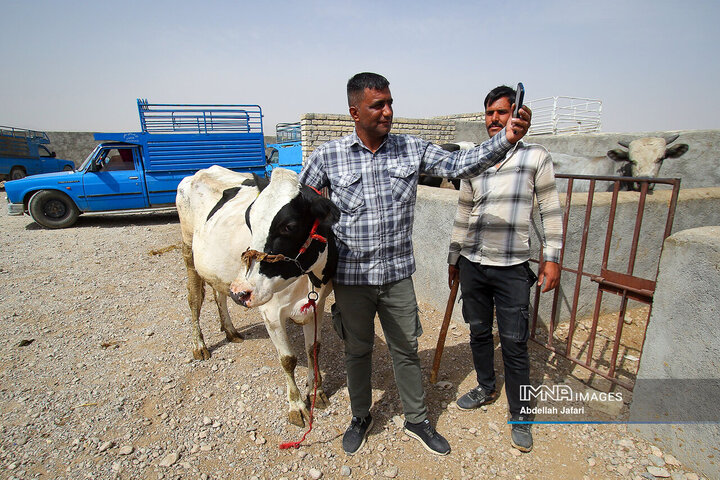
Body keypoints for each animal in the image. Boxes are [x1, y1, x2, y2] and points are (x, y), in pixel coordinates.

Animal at [177, 166, 340, 428]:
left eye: (289, 226)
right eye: (248, 220)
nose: (242, 290)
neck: (306, 278)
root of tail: (202, 170)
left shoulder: (317, 303)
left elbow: (313, 349)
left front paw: (317, 392)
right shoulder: (271, 313)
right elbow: (288, 359)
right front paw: (297, 406)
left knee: (219, 295)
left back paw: (230, 330)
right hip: (188, 249)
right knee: (194, 300)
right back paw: (199, 345)